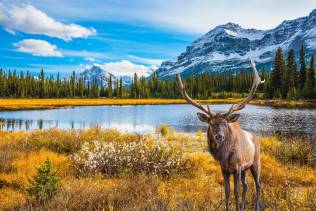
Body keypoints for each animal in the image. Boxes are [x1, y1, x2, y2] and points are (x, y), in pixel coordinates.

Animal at [175, 56, 264, 210]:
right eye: (211, 123)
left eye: (225, 124)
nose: (219, 136)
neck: (225, 156)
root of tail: (255, 137)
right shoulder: (224, 169)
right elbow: (227, 191)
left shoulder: (237, 167)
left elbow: (236, 192)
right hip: (245, 169)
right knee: (247, 185)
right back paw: (243, 206)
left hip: (255, 162)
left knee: (258, 185)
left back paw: (256, 207)